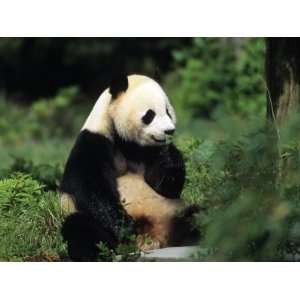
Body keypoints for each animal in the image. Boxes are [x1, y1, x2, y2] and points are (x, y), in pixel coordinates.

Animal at [59, 72, 200, 260]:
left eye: (168, 112)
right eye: (150, 114)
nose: (169, 131)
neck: (127, 142)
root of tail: (154, 239)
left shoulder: (149, 151)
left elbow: (165, 187)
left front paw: (170, 158)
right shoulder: (94, 141)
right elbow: (90, 187)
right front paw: (125, 226)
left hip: (172, 211)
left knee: (201, 215)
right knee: (80, 227)